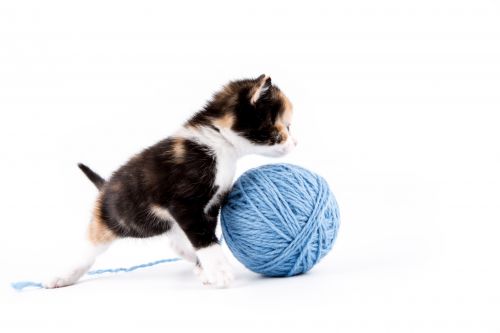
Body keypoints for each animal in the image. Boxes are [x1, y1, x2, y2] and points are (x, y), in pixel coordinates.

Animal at [44, 74, 296, 286]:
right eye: (284, 128)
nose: (295, 143)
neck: (219, 143)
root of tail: (104, 187)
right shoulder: (183, 203)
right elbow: (203, 237)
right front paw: (218, 270)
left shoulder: (210, 206)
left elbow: (205, 233)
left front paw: (205, 268)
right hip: (118, 220)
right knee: (89, 249)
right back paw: (64, 276)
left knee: (175, 241)